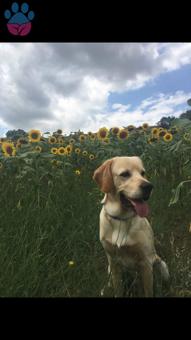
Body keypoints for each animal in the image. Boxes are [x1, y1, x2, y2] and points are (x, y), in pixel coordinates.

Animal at [92, 157, 169, 298]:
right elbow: (118, 289)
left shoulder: (145, 263)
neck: (121, 218)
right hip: (110, 268)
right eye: (125, 174)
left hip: (160, 264)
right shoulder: (113, 262)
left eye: (143, 173)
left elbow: (148, 291)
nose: (149, 186)